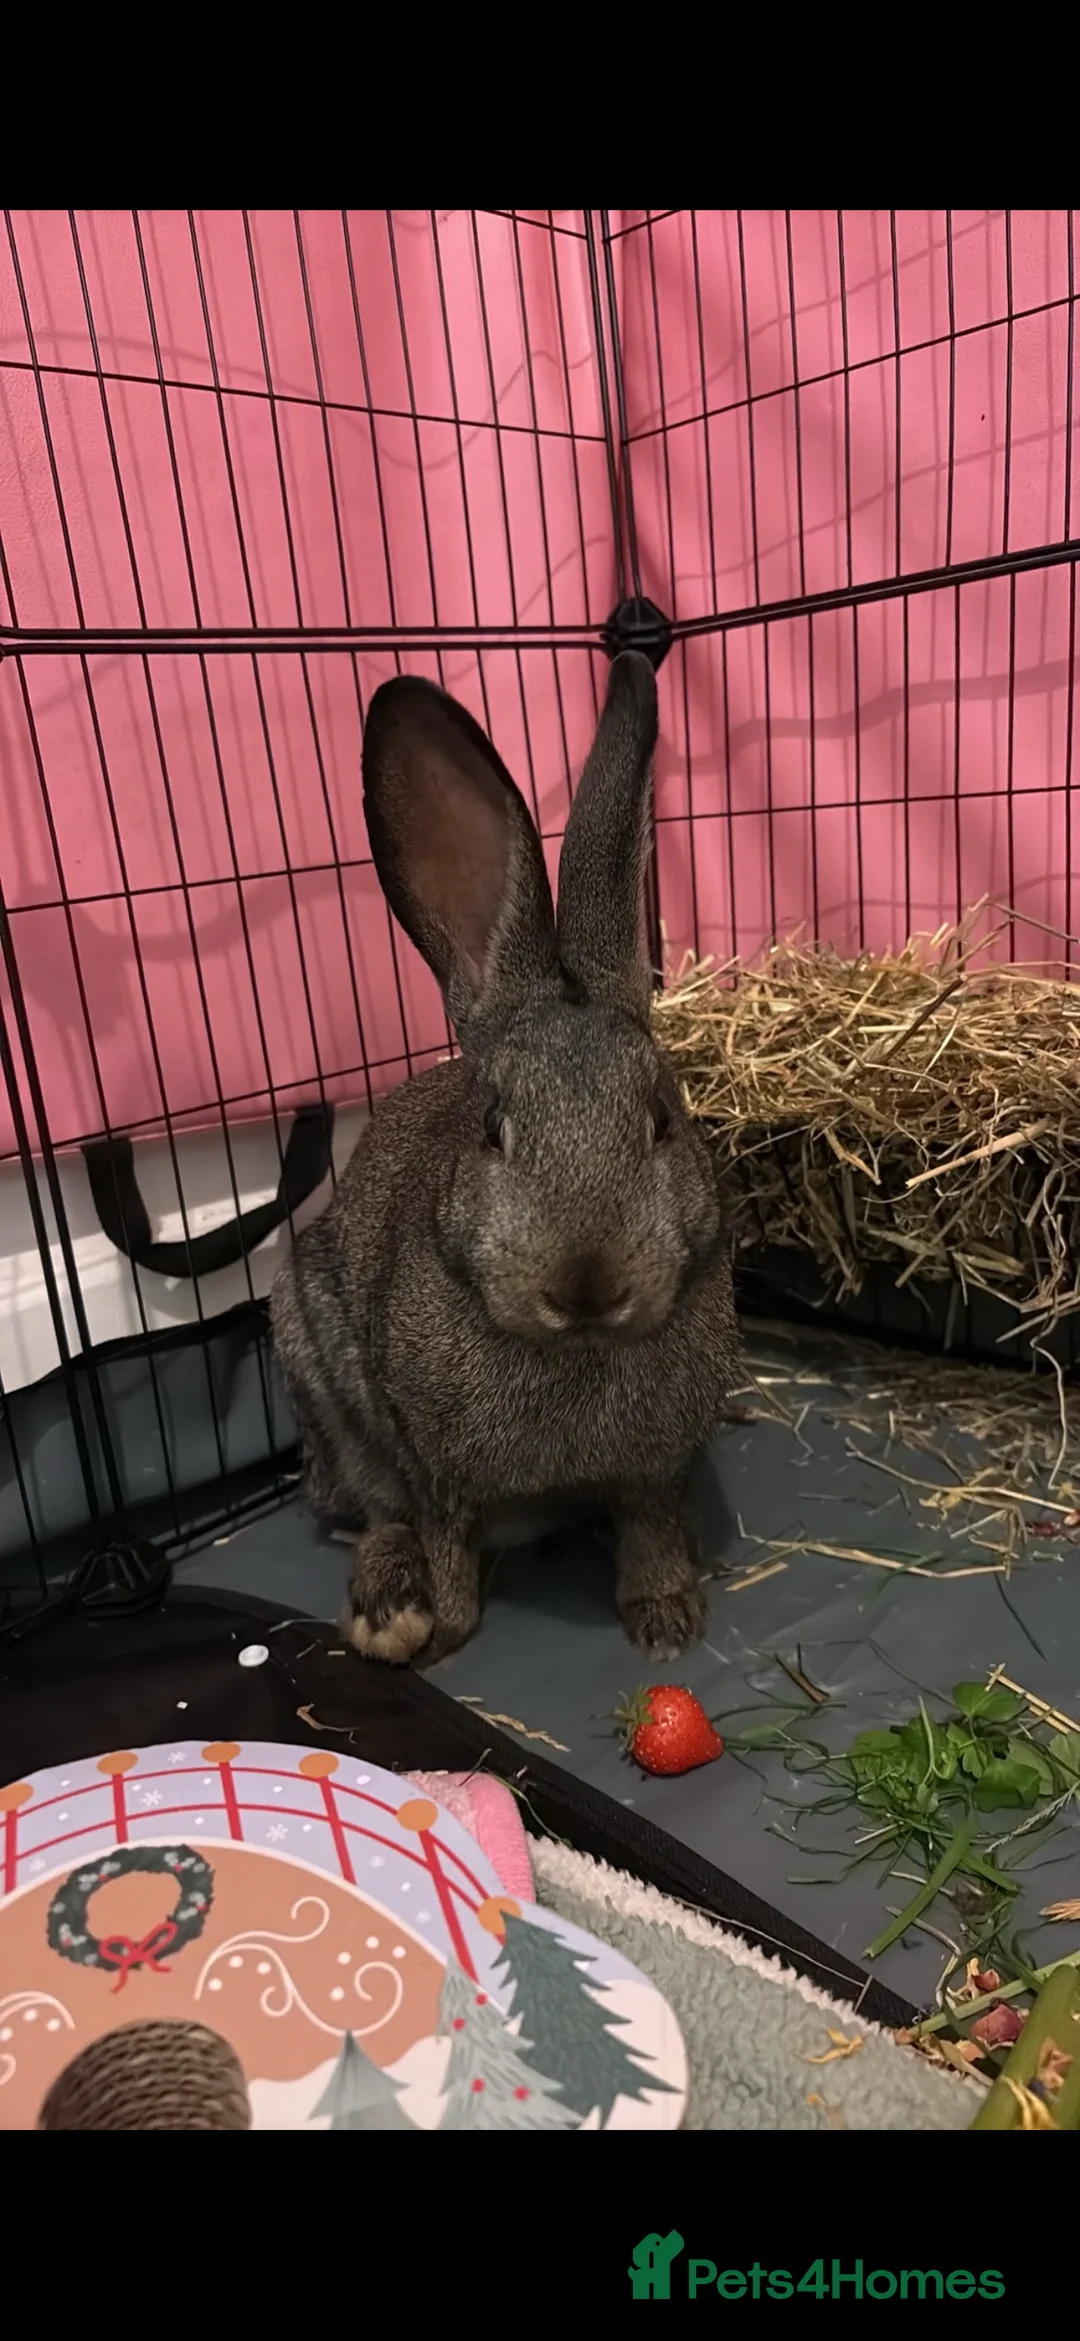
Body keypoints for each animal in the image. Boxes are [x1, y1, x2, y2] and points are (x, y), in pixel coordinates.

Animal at [270, 649, 741, 1667]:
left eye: (662, 1117)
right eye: (493, 1126)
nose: (588, 1283)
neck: (578, 1347)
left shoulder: (654, 1469)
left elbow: (648, 1524)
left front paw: (665, 1620)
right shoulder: (429, 1459)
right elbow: (443, 1531)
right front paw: (446, 1629)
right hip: (318, 1368)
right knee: (367, 1511)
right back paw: (389, 1605)